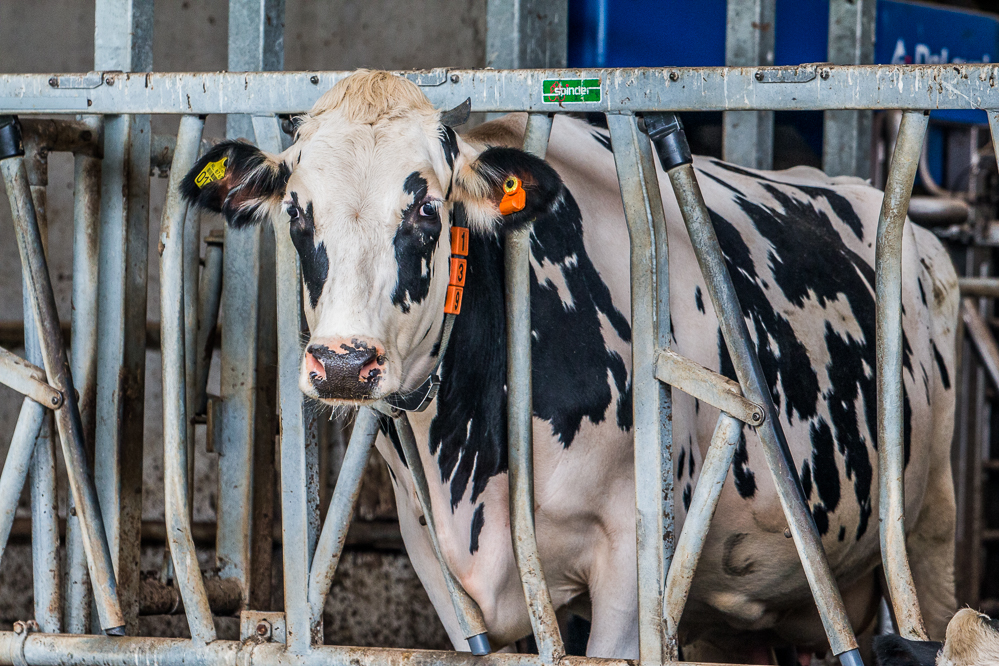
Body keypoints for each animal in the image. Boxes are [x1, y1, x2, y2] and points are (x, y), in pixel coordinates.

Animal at [184, 68, 964, 660]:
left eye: (427, 210)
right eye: (295, 212)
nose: (343, 364)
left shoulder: (630, 561)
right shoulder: (435, 562)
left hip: (928, 531)